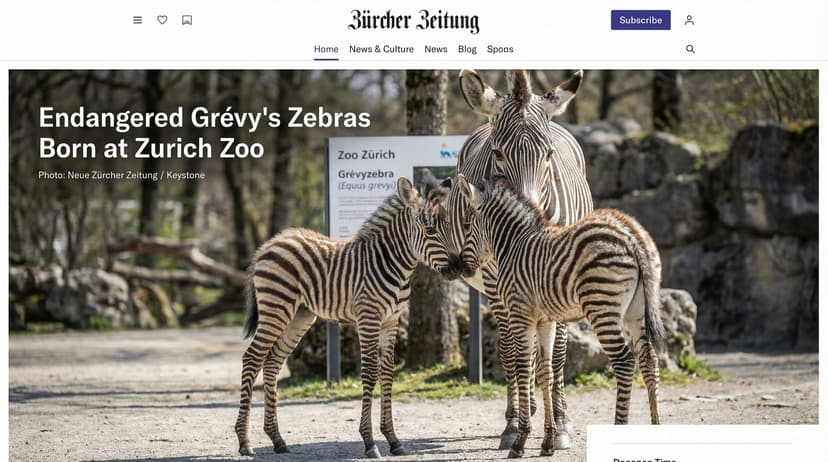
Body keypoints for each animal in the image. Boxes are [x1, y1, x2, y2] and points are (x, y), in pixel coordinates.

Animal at [234, 176, 462, 459]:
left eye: (449, 226)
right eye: (430, 231)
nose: (459, 268)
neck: (394, 265)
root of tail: (271, 243)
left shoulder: (391, 321)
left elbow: (388, 373)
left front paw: (393, 440)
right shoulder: (369, 318)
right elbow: (370, 373)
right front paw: (370, 442)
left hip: (299, 316)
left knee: (273, 362)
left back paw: (277, 440)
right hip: (276, 308)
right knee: (252, 358)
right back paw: (244, 442)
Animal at [446, 69, 592, 450]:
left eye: (549, 154)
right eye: (498, 154)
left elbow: (556, 355)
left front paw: (560, 426)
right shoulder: (498, 281)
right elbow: (514, 352)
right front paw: (517, 425)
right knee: (510, 347)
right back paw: (520, 412)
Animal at [456, 174, 664, 458]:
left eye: (467, 224)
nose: (461, 268)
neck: (513, 243)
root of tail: (631, 235)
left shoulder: (521, 314)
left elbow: (524, 369)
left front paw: (520, 441)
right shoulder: (546, 320)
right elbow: (545, 372)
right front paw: (548, 442)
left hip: (602, 306)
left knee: (624, 361)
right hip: (636, 311)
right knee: (648, 359)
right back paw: (656, 429)